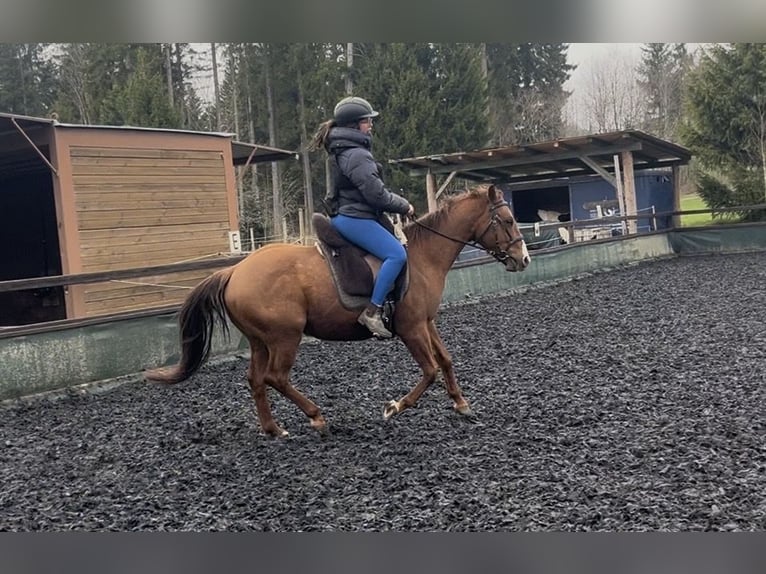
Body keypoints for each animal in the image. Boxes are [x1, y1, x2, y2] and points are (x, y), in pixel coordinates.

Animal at [144, 184, 530, 437]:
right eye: (508, 220)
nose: (523, 259)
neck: (423, 256)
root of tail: (234, 271)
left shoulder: (426, 322)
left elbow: (446, 361)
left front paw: (461, 404)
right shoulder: (411, 328)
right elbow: (430, 370)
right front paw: (394, 407)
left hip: (260, 341)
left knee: (256, 379)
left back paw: (274, 429)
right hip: (285, 337)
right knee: (275, 378)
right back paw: (315, 417)